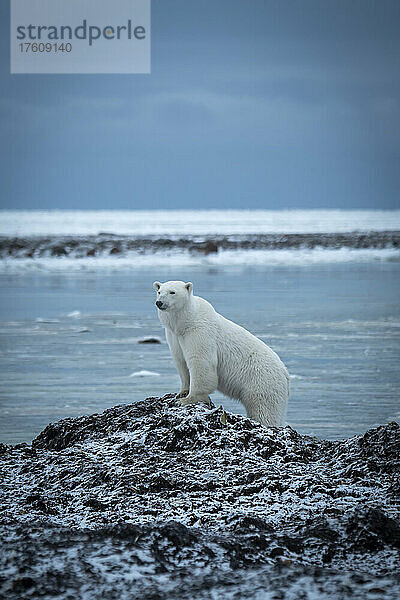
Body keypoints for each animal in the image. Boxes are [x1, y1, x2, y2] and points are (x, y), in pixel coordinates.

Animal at [152, 280, 288, 426]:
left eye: (172, 292)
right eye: (159, 292)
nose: (159, 302)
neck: (185, 322)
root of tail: (285, 374)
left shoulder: (200, 331)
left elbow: (200, 361)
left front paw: (187, 400)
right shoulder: (174, 336)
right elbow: (181, 362)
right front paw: (181, 393)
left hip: (262, 382)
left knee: (264, 410)